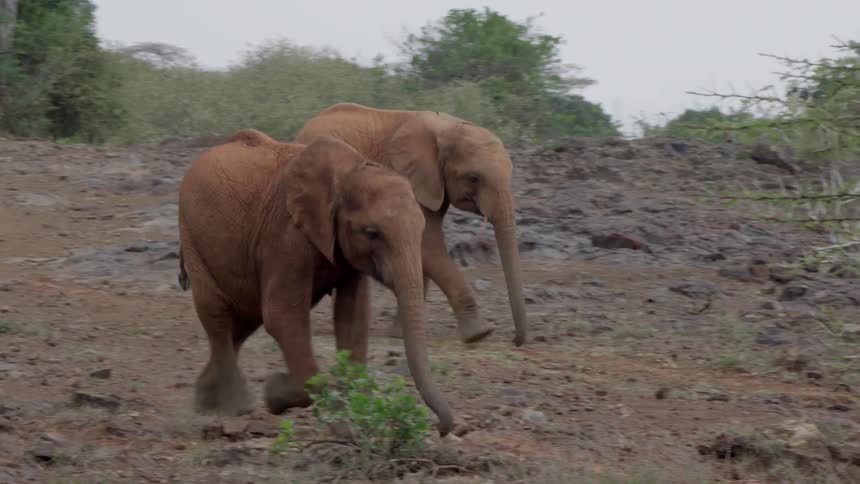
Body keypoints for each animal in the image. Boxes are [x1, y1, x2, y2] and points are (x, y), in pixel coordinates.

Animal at [177, 128, 454, 436]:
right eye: (371, 233)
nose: (442, 428)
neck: (348, 172)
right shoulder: (286, 234)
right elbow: (281, 315)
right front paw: (275, 394)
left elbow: (352, 317)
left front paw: (349, 416)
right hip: (192, 235)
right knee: (217, 315)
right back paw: (237, 407)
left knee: (242, 322)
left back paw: (206, 402)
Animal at [294, 103, 528, 347]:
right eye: (473, 178)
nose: (516, 340)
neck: (447, 126)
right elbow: (428, 246)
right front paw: (479, 334)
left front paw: (398, 333)